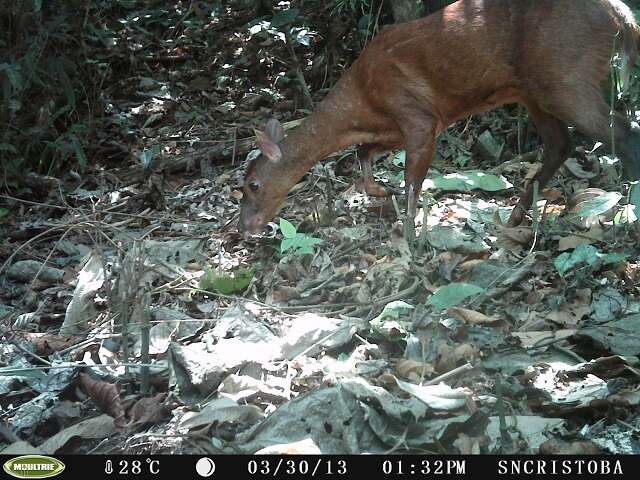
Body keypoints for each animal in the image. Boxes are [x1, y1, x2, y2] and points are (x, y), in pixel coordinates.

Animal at [238, 0, 640, 236]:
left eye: (253, 184)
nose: (242, 228)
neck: (362, 100)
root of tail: (621, 16)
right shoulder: (397, 125)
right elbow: (362, 153)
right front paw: (379, 191)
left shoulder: (416, 113)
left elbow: (412, 180)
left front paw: (409, 234)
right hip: (535, 87)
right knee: (561, 144)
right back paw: (515, 217)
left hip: (564, 72)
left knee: (623, 133)